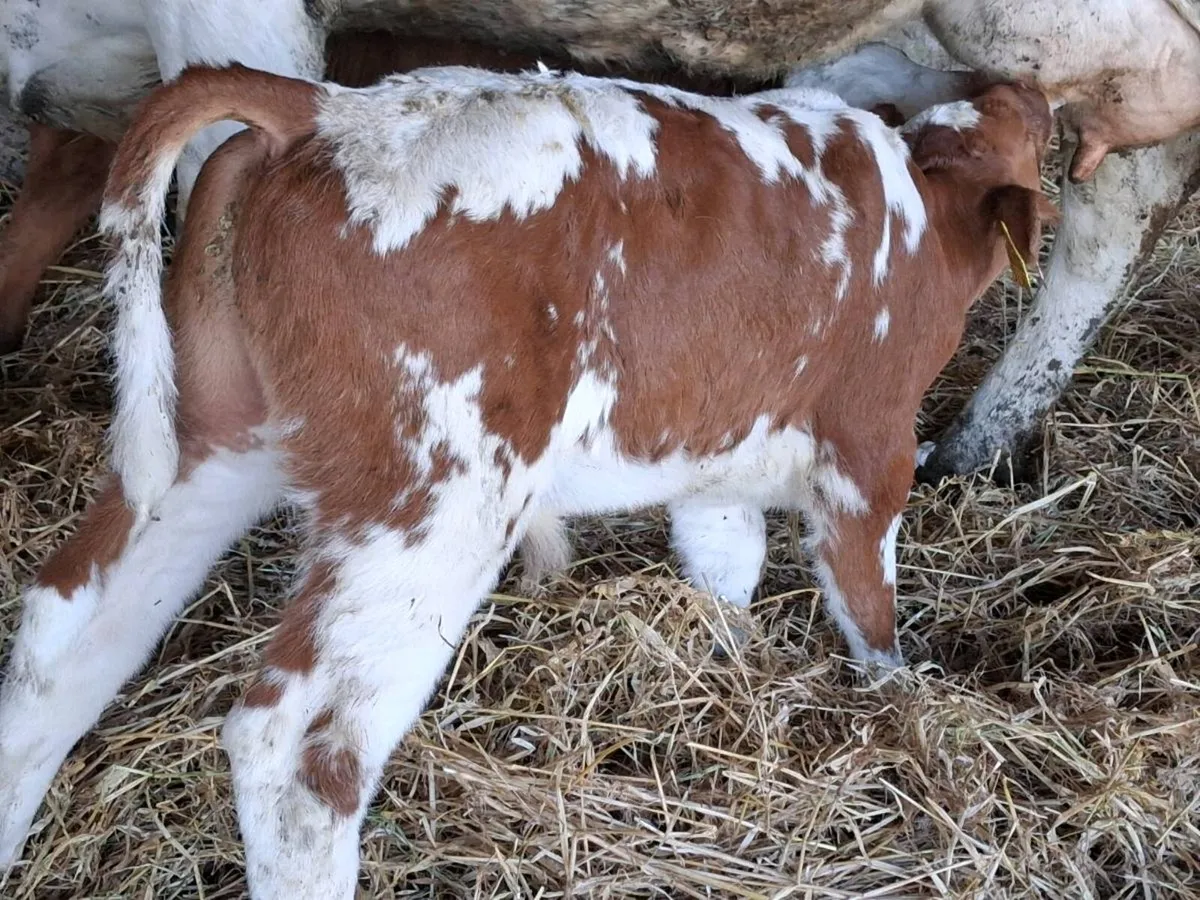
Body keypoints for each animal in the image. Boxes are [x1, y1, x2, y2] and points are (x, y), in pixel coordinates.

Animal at [0, 62, 1057, 893]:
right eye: (1031, 129)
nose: (1040, 91)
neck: (920, 201)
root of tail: (324, 108)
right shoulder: (871, 445)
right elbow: (866, 598)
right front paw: (903, 703)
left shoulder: (717, 465)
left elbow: (724, 566)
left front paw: (732, 663)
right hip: (431, 504)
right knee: (295, 754)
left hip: (212, 440)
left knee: (61, 632)